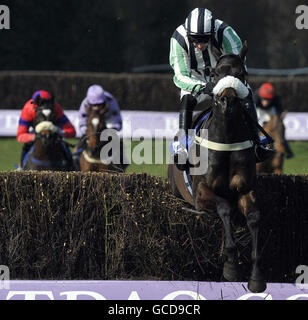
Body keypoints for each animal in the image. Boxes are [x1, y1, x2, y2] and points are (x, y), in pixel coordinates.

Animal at [168, 42, 268, 292]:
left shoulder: (246, 188)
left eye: (241, 73)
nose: (227, 101)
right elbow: (224, 208)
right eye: (215, 73)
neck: (227, 138)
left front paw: (256, 276)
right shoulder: (202, 193)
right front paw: (231, 266)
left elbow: (254, 217)